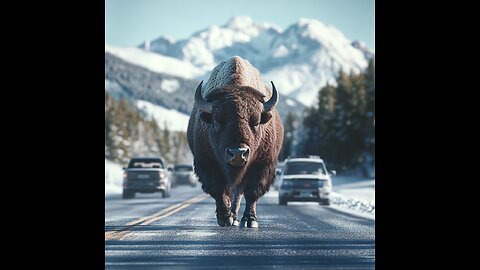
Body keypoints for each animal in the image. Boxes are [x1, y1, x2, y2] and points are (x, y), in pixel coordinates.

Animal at [188, 57, 284, 228]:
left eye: (256, 122)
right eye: (217, 121)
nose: (238, 153)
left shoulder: (262, 165)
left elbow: (252, 192)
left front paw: (250, 220)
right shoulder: (207, 163)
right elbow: (219, 190)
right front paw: (224, 218)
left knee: (238, 192)